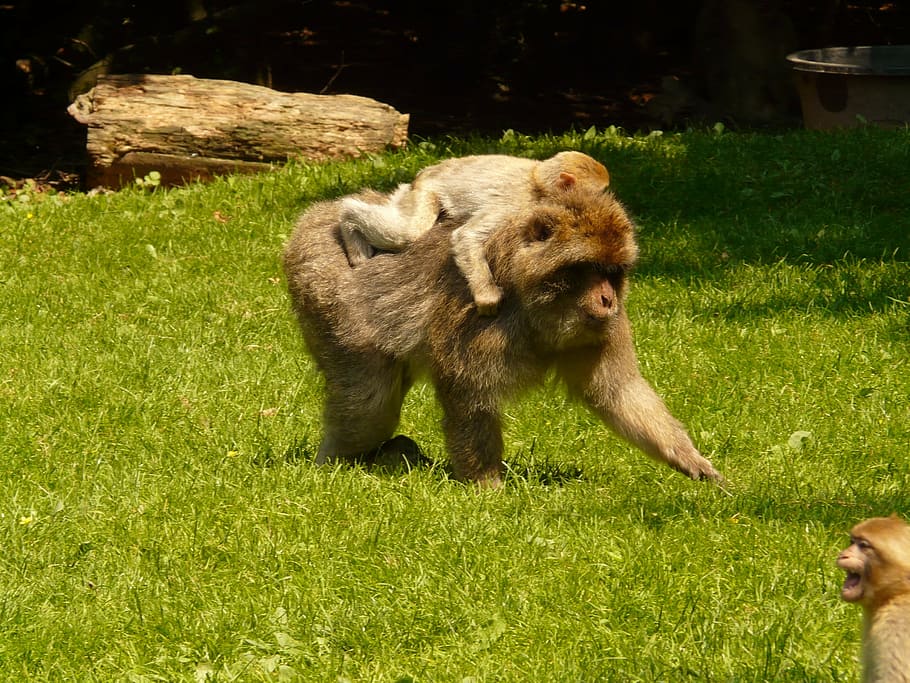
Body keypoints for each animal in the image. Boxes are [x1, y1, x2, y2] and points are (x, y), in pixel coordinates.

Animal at [283, 179, 723, 488]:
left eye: (613, 271)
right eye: (587, 268)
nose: (607, 298)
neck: (535, 305)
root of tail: (313, 218)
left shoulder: (606, 327)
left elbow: (618, 392)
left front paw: (687, 458)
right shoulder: (485, 317)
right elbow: (467, 389)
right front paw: (486, 485)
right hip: (325, 294)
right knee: (369, 404)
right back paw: (332, 465)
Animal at [338, 151, 611, 316]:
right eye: (599, 192)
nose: (606, 199)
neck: (538, 183)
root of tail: (425, 172)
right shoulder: (516, 204)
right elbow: (465, 237)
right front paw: (487, 296)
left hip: (405, 193)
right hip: (424, 191)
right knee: (409, 232)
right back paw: (347, 218)